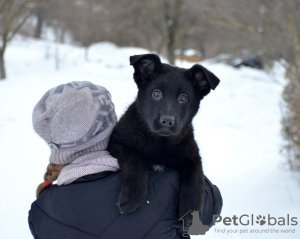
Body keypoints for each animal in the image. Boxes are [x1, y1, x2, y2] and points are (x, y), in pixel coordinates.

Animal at [106, 53, 219, 220]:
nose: (167, 121)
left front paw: (190, 213)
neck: (161, 143)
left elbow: (195, 178)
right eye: (156, 93)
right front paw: (133, 195)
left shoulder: (193, 157)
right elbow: (137, 159)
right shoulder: (118, 142)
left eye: (183, 98)